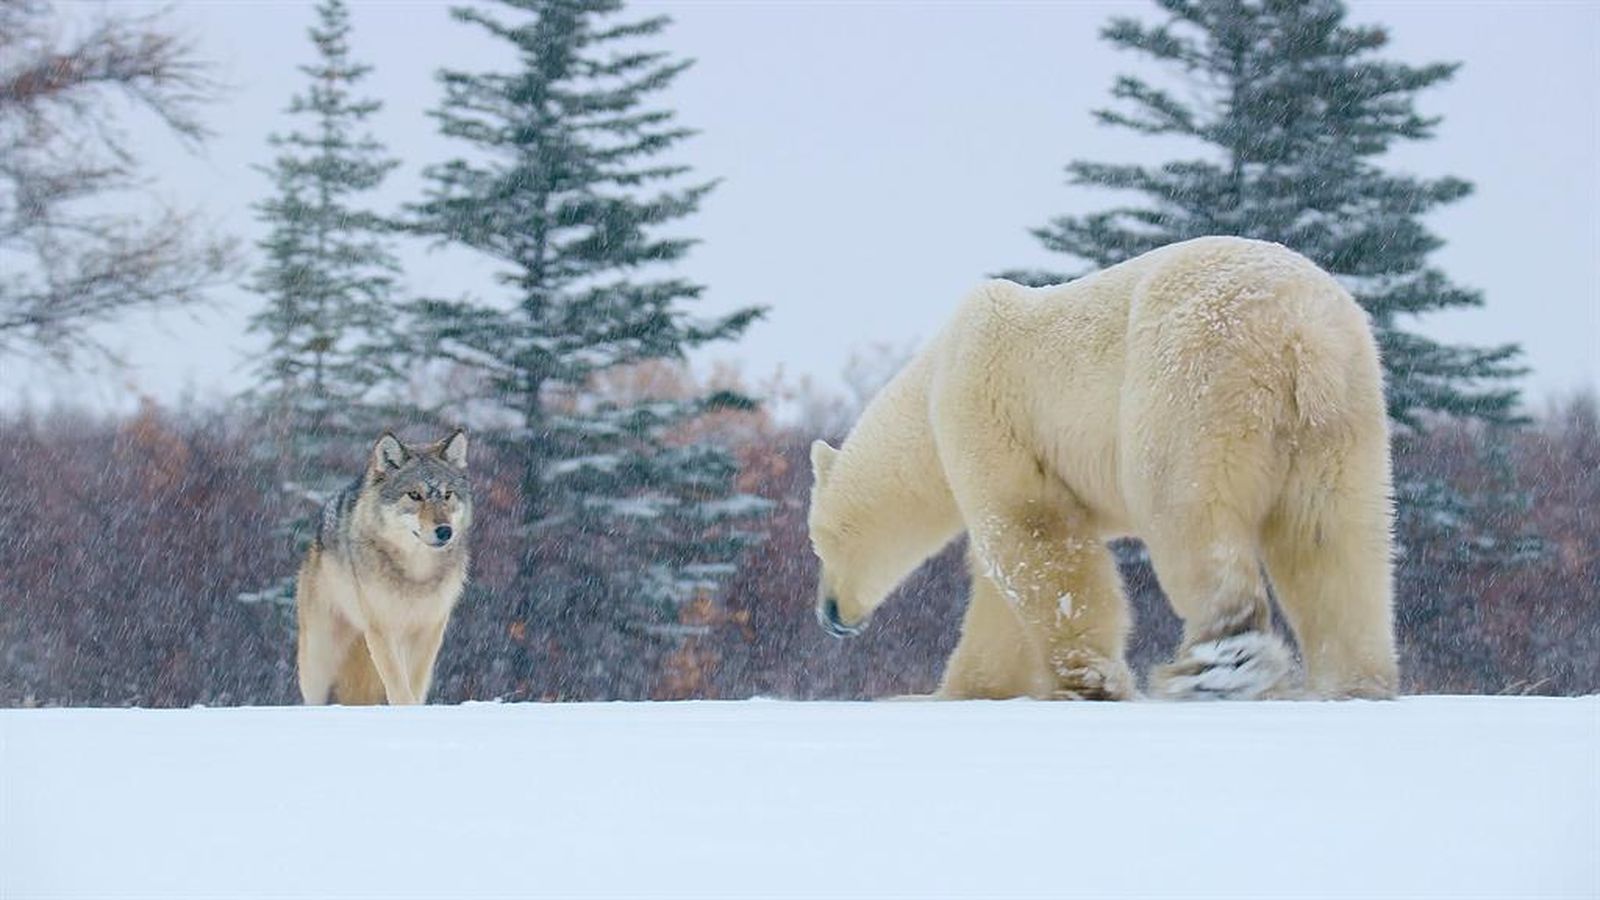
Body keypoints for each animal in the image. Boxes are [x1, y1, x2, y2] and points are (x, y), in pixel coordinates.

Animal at [296, 429, 472, 705]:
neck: (416, 574)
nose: (445, 531)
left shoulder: (430, 629)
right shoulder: (382, 628)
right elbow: (398, 683)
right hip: (319, 656)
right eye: (414, 495)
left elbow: (415, 682)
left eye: (447, 495)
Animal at [807, 236, 1398, 701]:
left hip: (1193, 380)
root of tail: (1299, 332)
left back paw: (1217, 667)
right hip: (1344, 417)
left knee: (1190, 516)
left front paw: (1089, 679)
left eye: (820, 540)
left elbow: (1033, 535)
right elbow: (1000, 582)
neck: (929, 384)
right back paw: (1355, 682)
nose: (829, 615)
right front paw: (967, 689)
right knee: (1333, 540)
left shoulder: (985, 407)